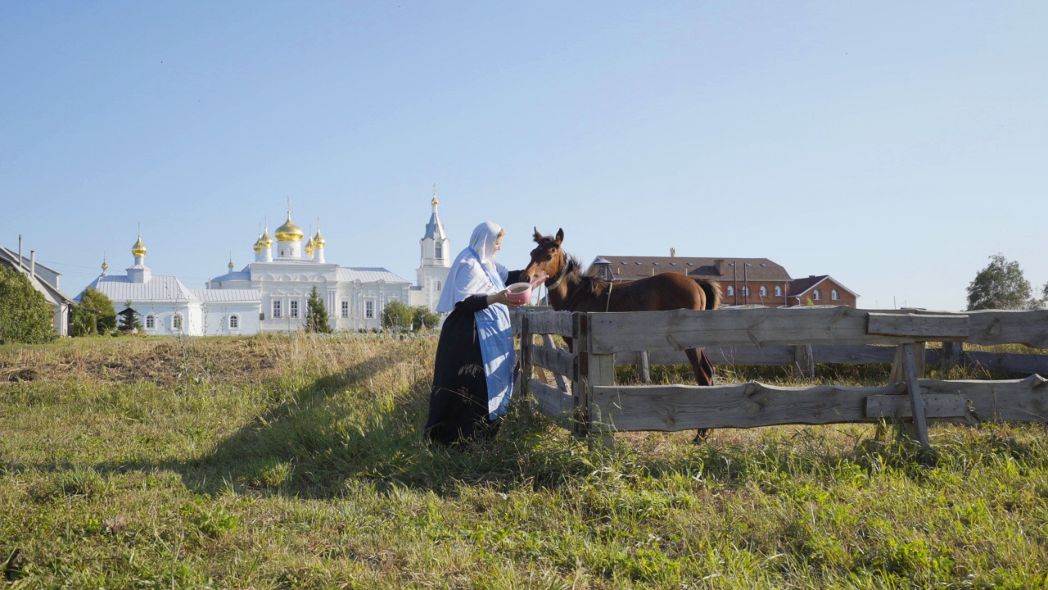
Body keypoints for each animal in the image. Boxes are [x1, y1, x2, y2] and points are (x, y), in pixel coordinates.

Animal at [521, 228, 721, 439]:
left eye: (549, 254)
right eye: (532, 253)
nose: (526, 277)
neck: (577, 294)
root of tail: (695, 282)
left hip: (690, 342)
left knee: (703, 375)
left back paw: (700, 436)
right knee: (708, 371)